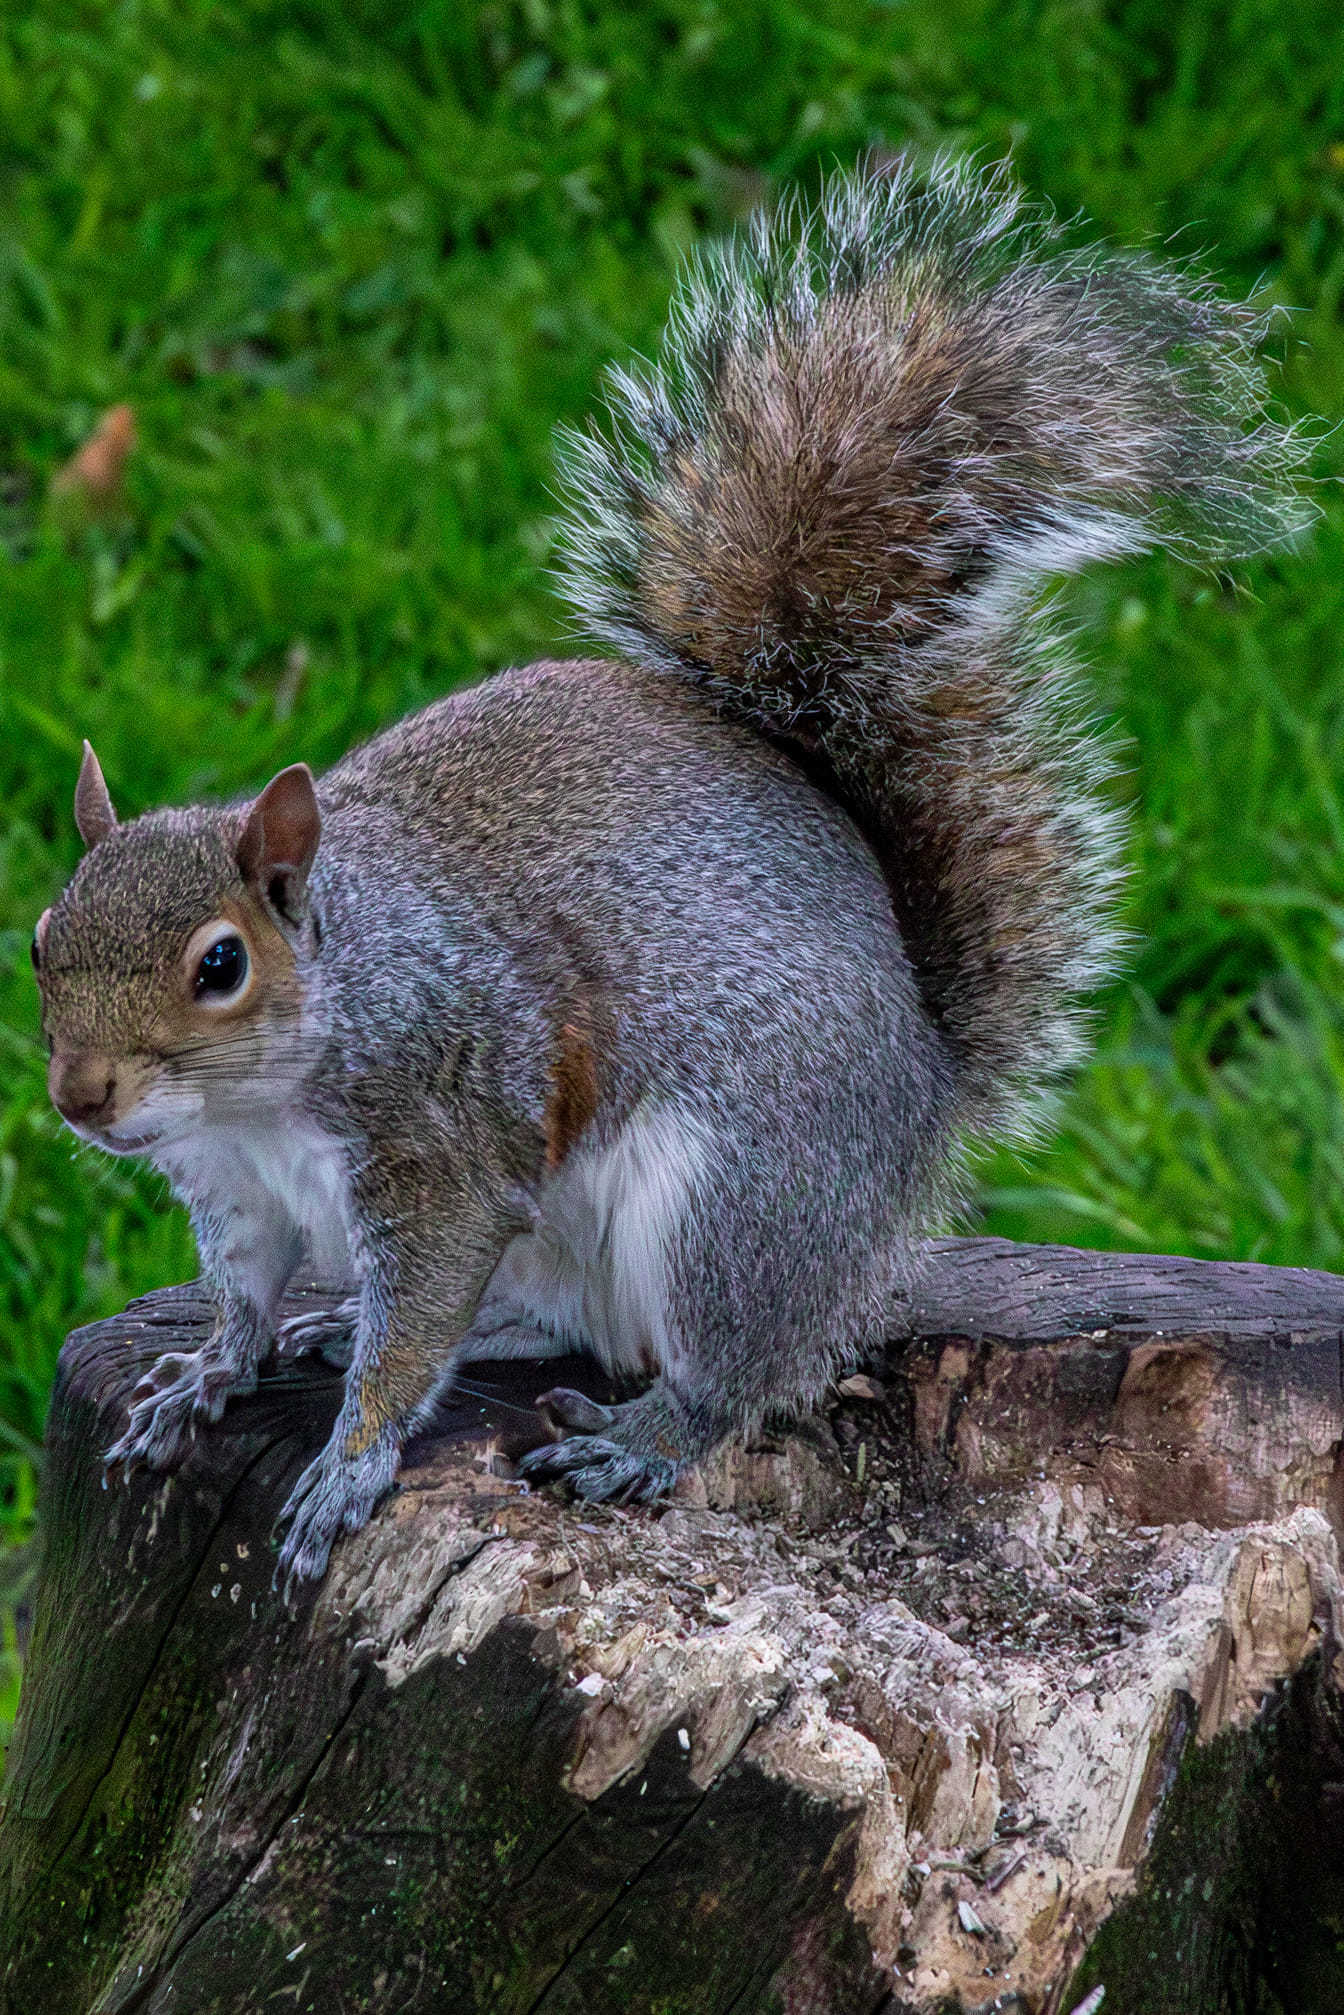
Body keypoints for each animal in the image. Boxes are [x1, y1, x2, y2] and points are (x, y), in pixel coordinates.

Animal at [31, 157, 1313, 1587]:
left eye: (220, 964)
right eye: (41, 941)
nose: (80, 1096)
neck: (266, 1084)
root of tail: (926, 1087)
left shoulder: (440, 1141)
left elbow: (418, 1319)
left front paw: (349, 1462)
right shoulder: (239, 1193)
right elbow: (247, 1294)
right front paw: (212, 1368)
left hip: (737, 1197)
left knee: (719, 1365)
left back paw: (642, 1437)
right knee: (567, 1322)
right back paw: (376, 1329)